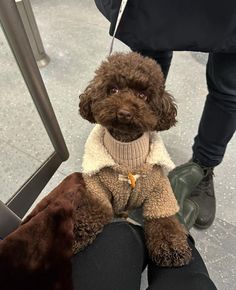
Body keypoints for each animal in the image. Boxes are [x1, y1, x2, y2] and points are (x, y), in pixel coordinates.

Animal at [79, 51, 192, 266]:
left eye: (142, 96)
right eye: (113, 90)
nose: (124, 113)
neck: (127, 150)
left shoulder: (159, 191)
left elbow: (163, 219)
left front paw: (171, 247)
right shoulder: (97, 188)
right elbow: (93, 209)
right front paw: (75, 232)